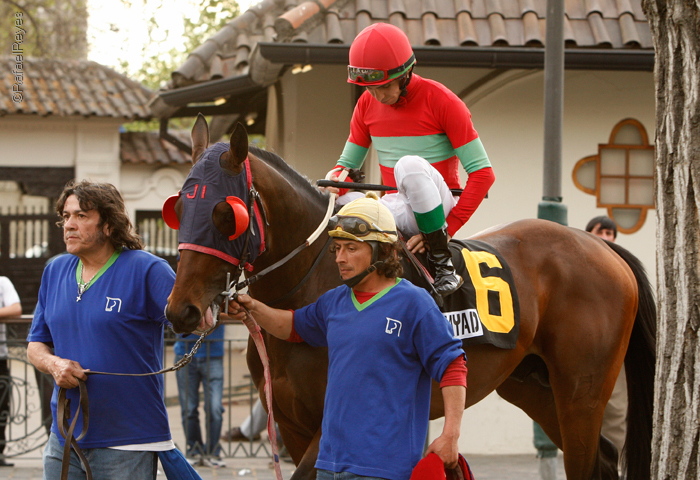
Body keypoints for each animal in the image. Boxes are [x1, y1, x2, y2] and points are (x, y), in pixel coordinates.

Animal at [164, 116, 656, 480]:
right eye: (179, 207)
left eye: (225, 213)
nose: (180, 310)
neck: (311, 286)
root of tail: (601, 246)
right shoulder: (291, 423)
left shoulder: (335, 425)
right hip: (534, 387)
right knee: (602, 460)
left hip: (581, 393)